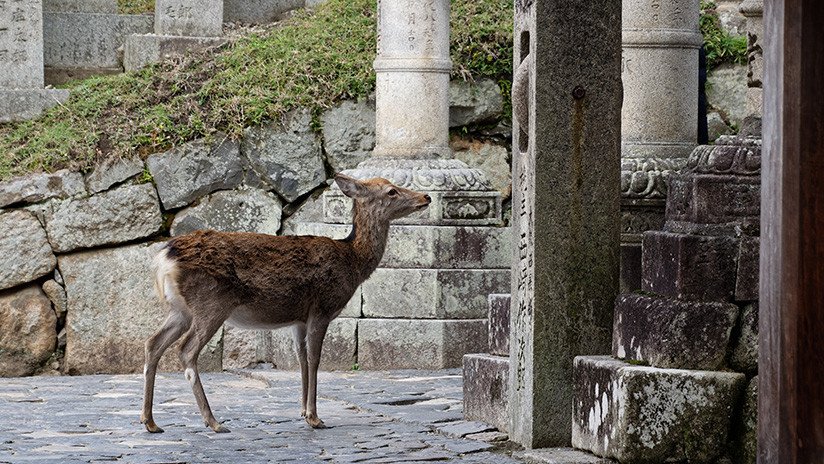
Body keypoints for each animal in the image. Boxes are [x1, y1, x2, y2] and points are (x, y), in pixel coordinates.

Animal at [141, 172, 432, 434]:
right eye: (391, 191)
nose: (426, 197)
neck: (353, 262)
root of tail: (164, 258)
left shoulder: (298, 319)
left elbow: (300, 358)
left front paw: (302, 411)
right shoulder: (322, 308)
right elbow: (315, 358)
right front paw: (315, 417)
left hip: (180, 309)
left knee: (153, 343)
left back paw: (150, 422)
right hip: (210, 304)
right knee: (186, 350)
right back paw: (213, 422)